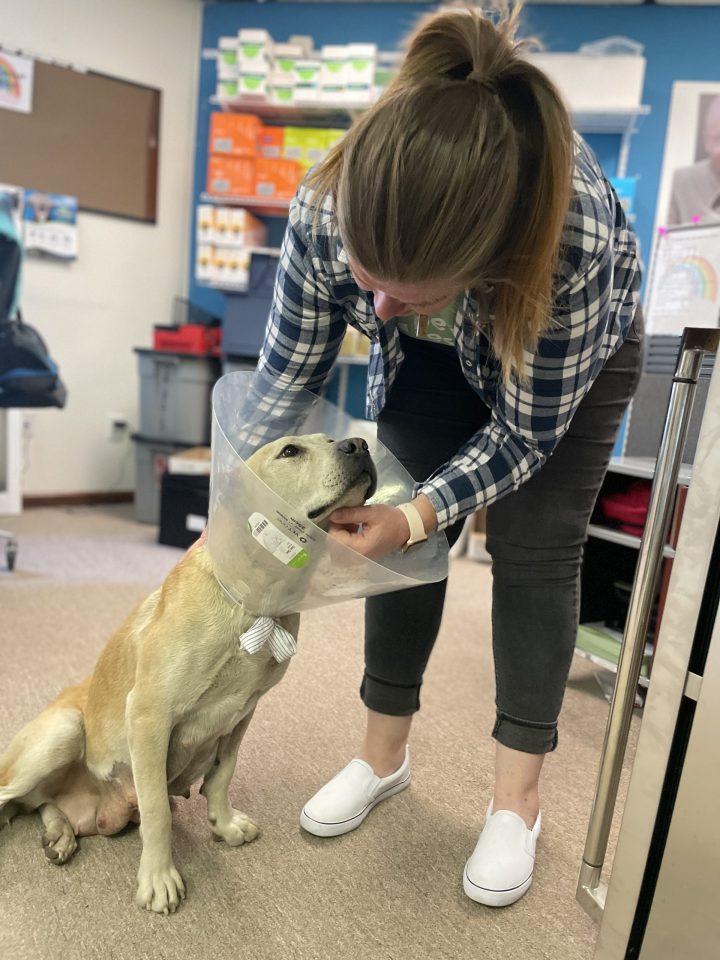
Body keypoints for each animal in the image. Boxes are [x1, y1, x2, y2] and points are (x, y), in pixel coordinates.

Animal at [0, 436, 374, 916]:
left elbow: (222, 774)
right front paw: (159, 878)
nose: (360, 443)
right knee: (13, 797)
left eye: (329, 440)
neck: (252, 600)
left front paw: (224, 823)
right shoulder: (149, 716)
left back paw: (59, 833)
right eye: (290, 451)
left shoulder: (242, 714)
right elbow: (158, 810)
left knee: (39, 803)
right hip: (63, 730)